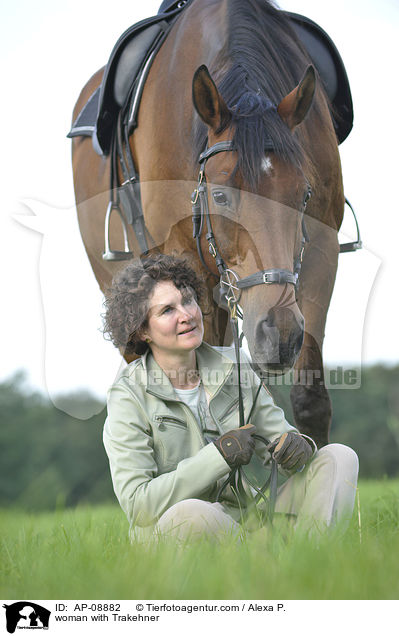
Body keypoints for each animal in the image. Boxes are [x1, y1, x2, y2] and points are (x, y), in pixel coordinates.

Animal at [71, 0, 344, 448]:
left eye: (304, 195)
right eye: (219, 197)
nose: (278, 334)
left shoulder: (322, 253)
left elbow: (310, 401)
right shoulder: (186, 265)